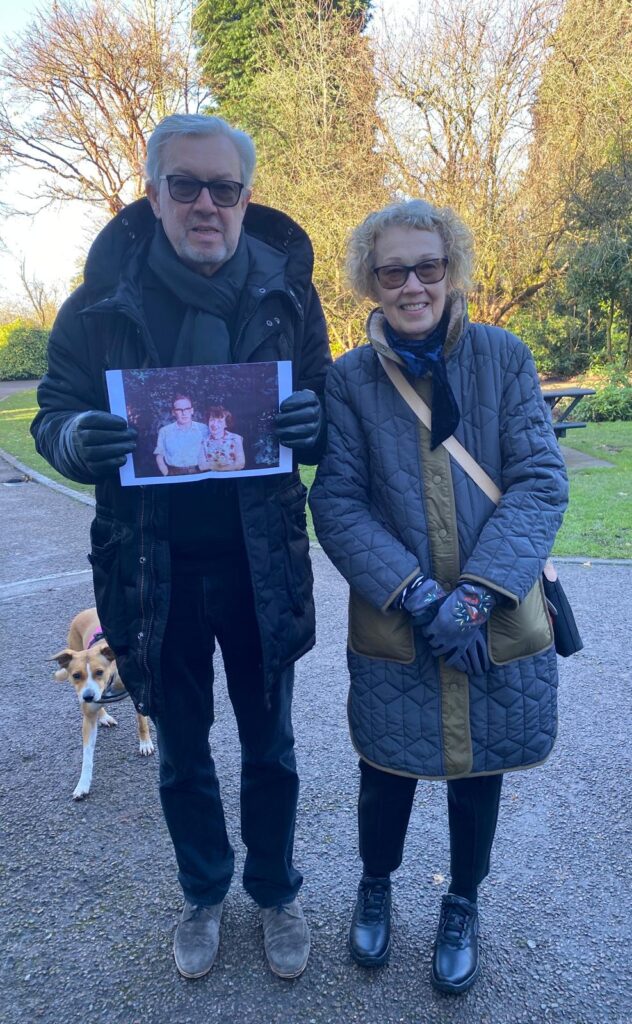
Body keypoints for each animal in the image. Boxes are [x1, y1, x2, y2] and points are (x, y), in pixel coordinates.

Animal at [50, 606, 153, 798]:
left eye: (99, 672)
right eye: (76, 675)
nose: (88, 696)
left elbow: (141, 721)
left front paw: (145, 743)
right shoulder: (88, 715)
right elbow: (87, 756)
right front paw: (83, 783)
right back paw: (104, 717)